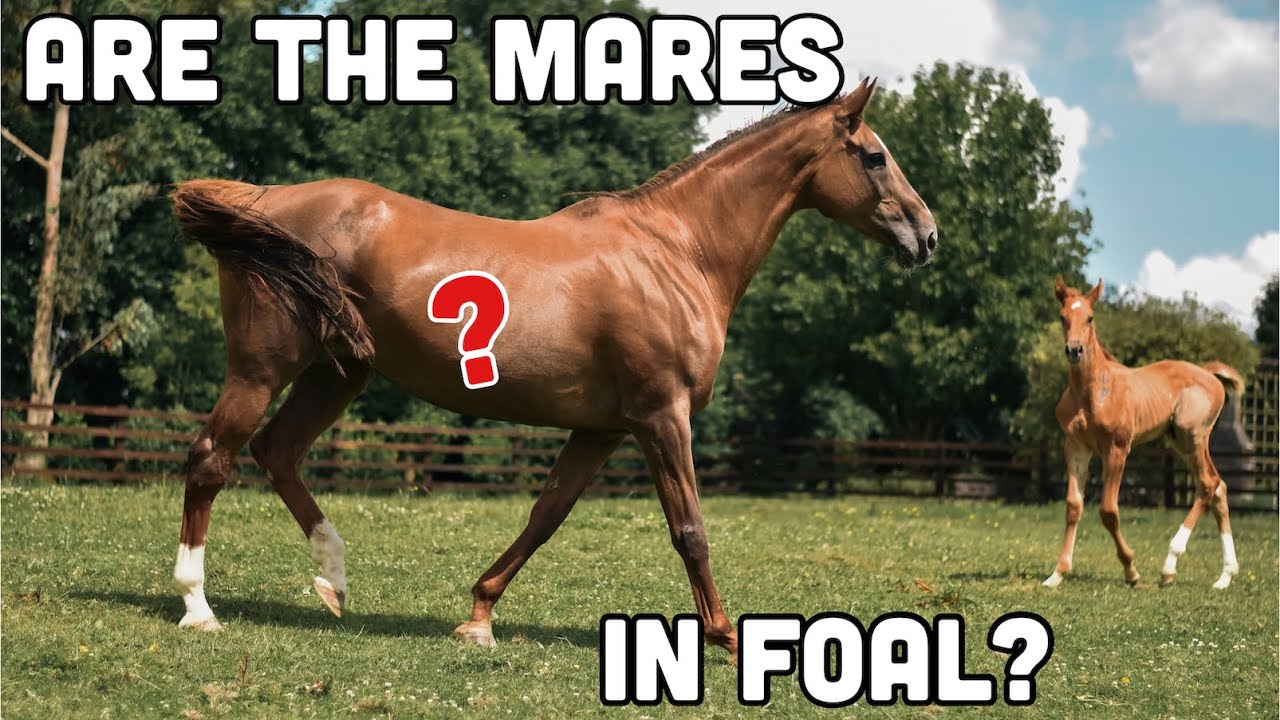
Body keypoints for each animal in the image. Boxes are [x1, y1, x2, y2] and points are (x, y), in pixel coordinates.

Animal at [168, 77, 937, 662]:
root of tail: (264, 200)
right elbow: (689, 528)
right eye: (874, 157)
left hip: (337, 373)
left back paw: (333, 580)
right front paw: (726, 636)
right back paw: (198, 607)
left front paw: (478, 617)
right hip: (264, 370)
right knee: (212, 457)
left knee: (278, 452)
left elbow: (546, 515)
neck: (675, 251)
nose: (927, 236)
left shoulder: (601, 430)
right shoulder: (662, 416)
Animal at [1041, 277, 1244, 590]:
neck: (1094, 391)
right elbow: (1074, 506)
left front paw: (1131, 571)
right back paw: (1225, 576)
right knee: (1219, 487)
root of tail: (1210, 374)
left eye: (1090, 317)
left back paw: (1169, 565)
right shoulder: (1075, 447)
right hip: (1180, 442)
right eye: (1063, 317)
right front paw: (1057, 574)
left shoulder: (1117, 448)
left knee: (1208, 485)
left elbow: (1108, 511)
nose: (1074, 350)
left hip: (1192, 436)